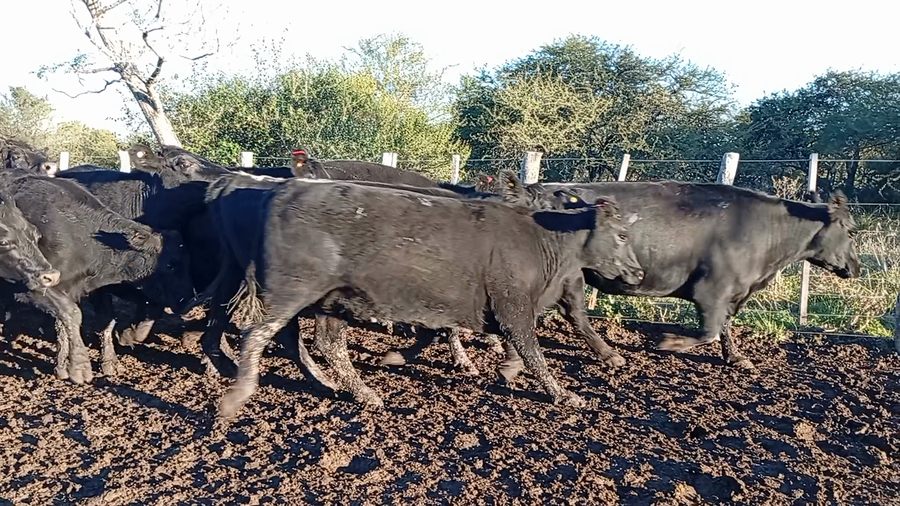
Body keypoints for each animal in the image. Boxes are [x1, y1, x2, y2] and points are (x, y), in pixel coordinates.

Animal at [0, 170, 193, 382]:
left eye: (186, 261)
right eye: (170, 265)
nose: (188, 299)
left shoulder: (96, 289)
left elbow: (106, 321)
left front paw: (109, 362)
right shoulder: (43, 286)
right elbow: (64, 323)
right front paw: (67, 367)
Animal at [198, 172, 643, 420]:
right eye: (622, 235)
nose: (638, 273)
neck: (540, 238)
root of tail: (282, 189)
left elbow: (460, 335)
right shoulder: (513, 303)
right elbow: (532, 349)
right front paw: (564, 394)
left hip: (331, 298)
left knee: (326, 343)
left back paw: (359, 392)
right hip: (292, 291)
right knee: (257, 333)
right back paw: (237, 397)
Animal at [521, 180, 861, 370]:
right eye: (851, 231)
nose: (857, 268)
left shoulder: (732, 293)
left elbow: (725, 326)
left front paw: (736, 358)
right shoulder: (711, 291)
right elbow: (709, 331)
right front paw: (669, 343)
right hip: (570, 275)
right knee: (576, 314)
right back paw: (609, 355)